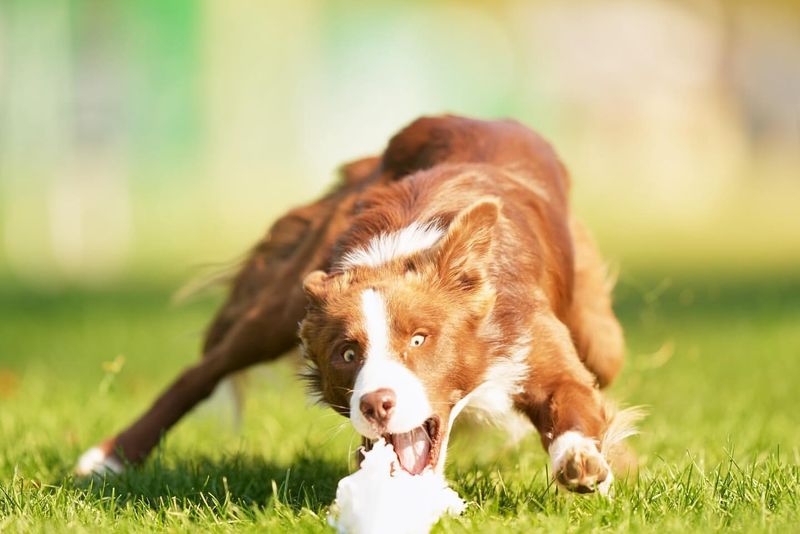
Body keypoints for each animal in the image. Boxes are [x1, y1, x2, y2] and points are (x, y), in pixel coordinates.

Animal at [76, 115, 636, 496]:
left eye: (419, 339)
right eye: (347, 354)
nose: (376, 404)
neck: (402, 251)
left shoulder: (531, 340)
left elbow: (572, 399)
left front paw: (584, 462)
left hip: (600, 335)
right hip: (283, 302)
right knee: (203, 371)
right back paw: (110, 459)